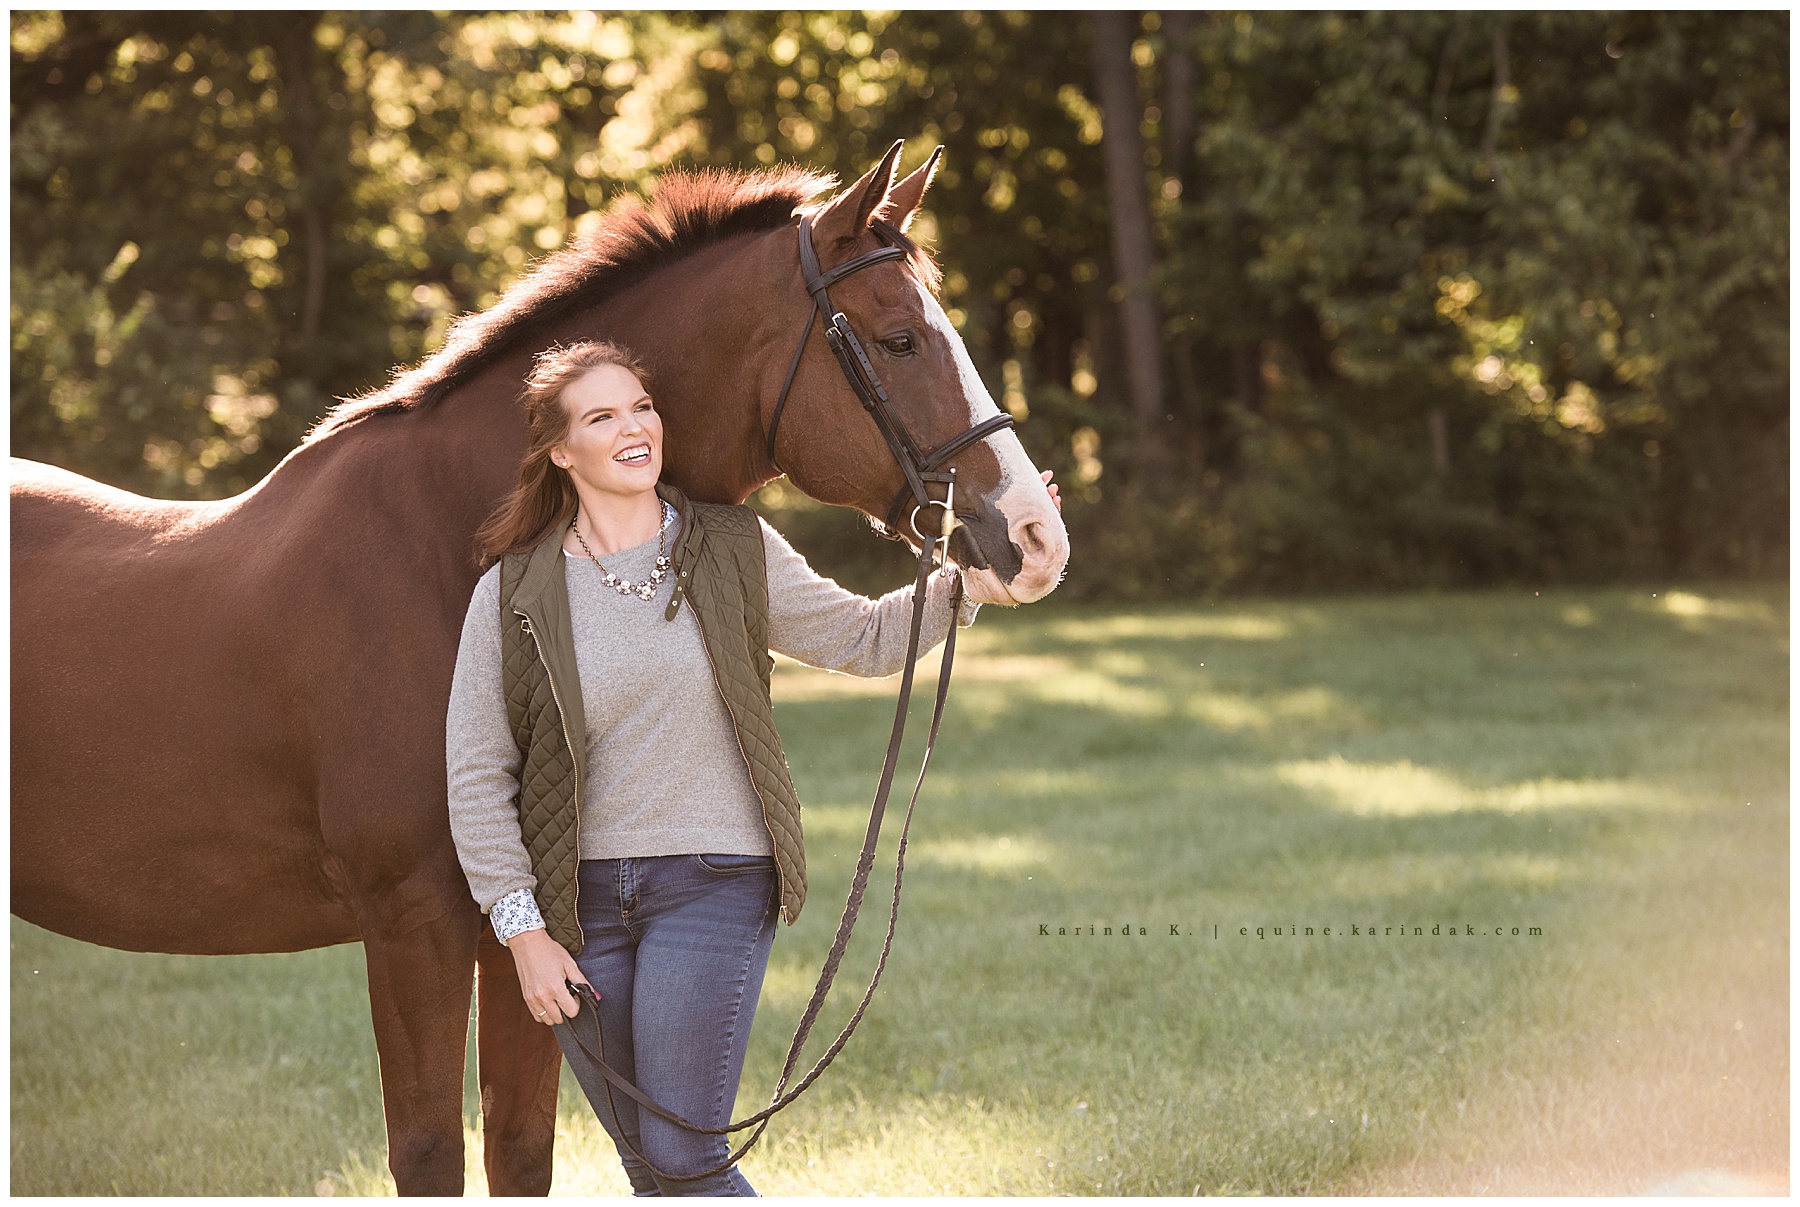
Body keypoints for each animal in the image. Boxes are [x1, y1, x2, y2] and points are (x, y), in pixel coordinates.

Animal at [10, 141, 1070, 1194]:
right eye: (899, 341)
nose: (1034, 536)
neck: (440, 548)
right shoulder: (415, 925)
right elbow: (430, 1152)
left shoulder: (533, 936)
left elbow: (519, 1149)